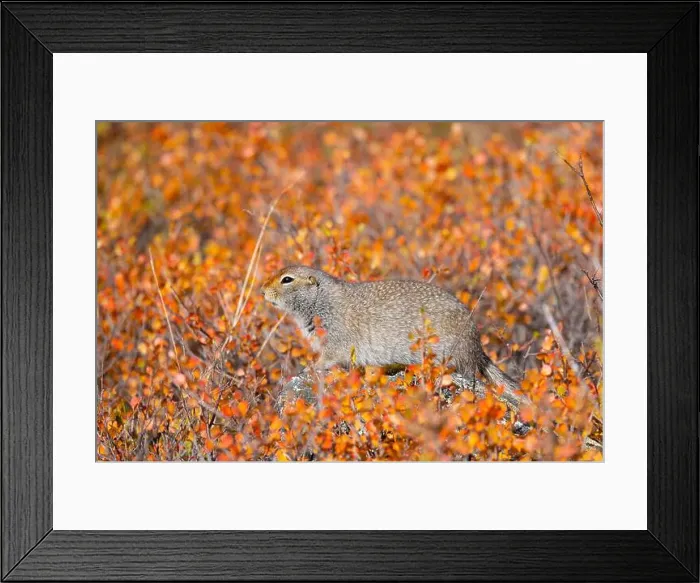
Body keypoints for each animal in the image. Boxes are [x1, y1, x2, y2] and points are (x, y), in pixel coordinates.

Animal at [261, 265, 530, 414]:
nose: (262, 290)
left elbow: (328, 357)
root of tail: (477, 348)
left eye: (287, 279)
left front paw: (311, 366)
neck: (321, 301)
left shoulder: (335, 338)